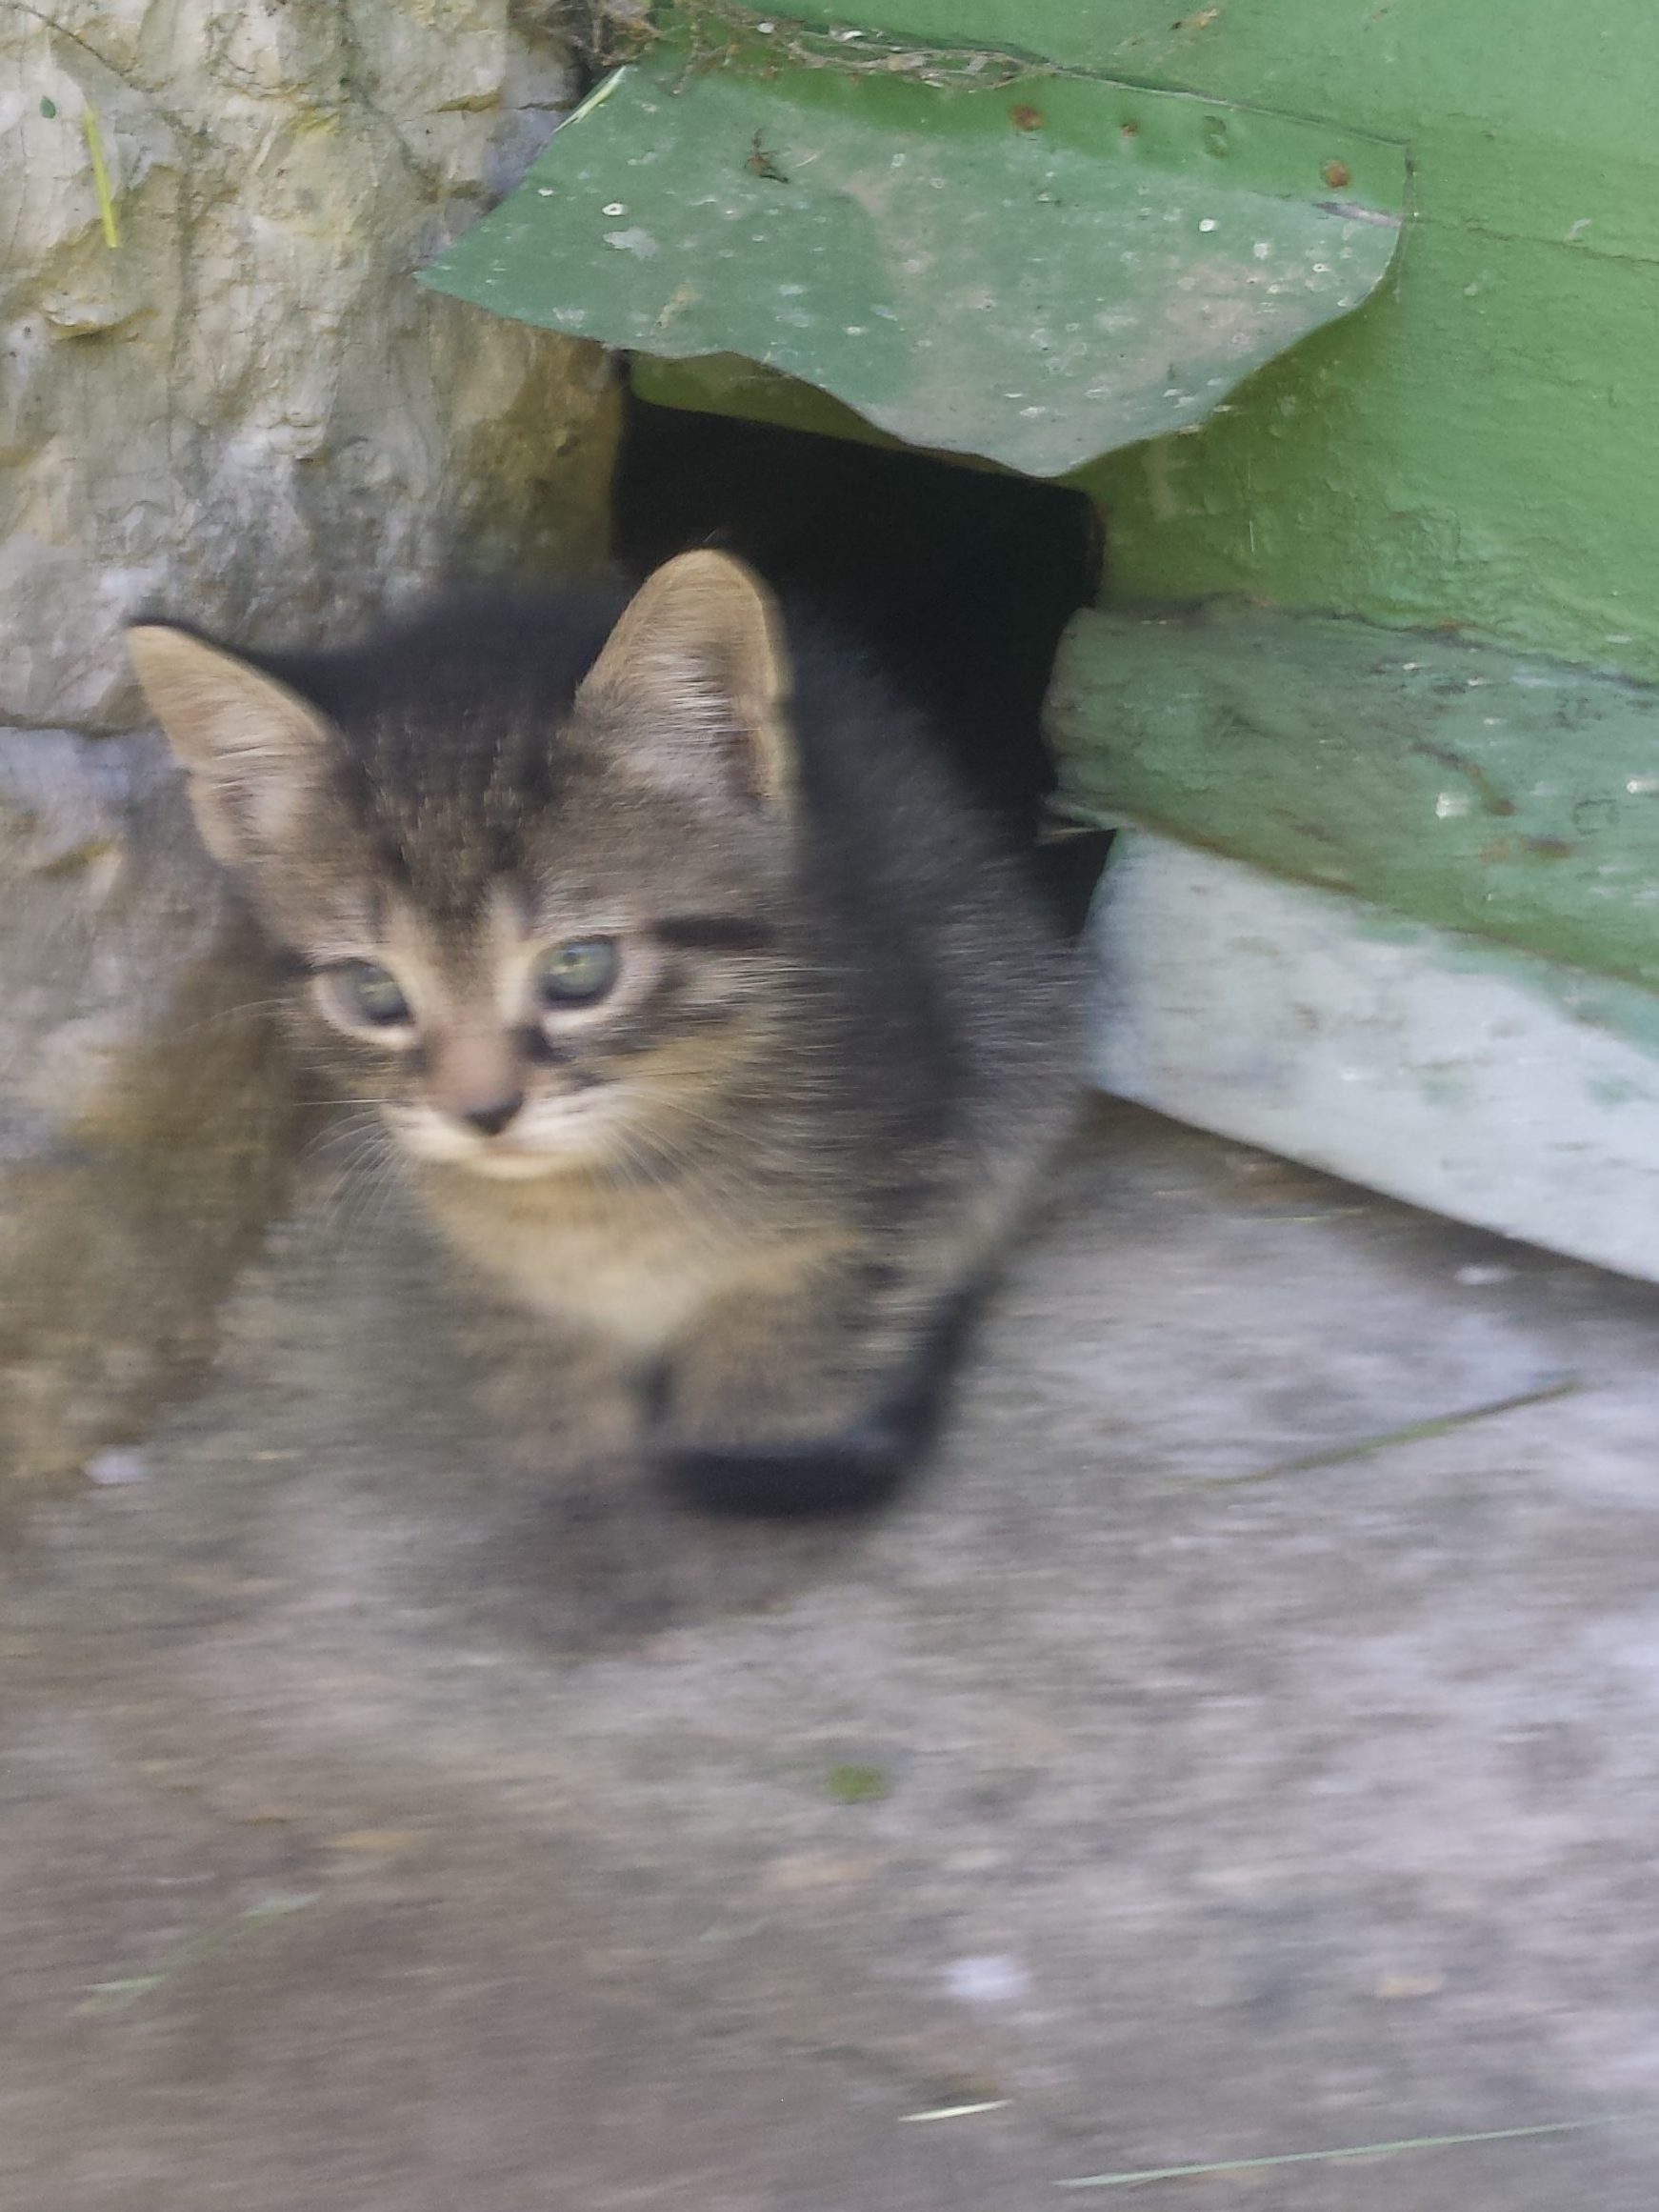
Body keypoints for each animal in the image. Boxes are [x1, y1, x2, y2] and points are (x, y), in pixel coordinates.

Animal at [126, 552, 1077, 1513]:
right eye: (374, 991)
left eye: (579, 968)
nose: (483, 1113)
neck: (597, 1206)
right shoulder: (511, 1282)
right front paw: (574, 1470)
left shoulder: (886, 1190)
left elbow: (790, 1372)